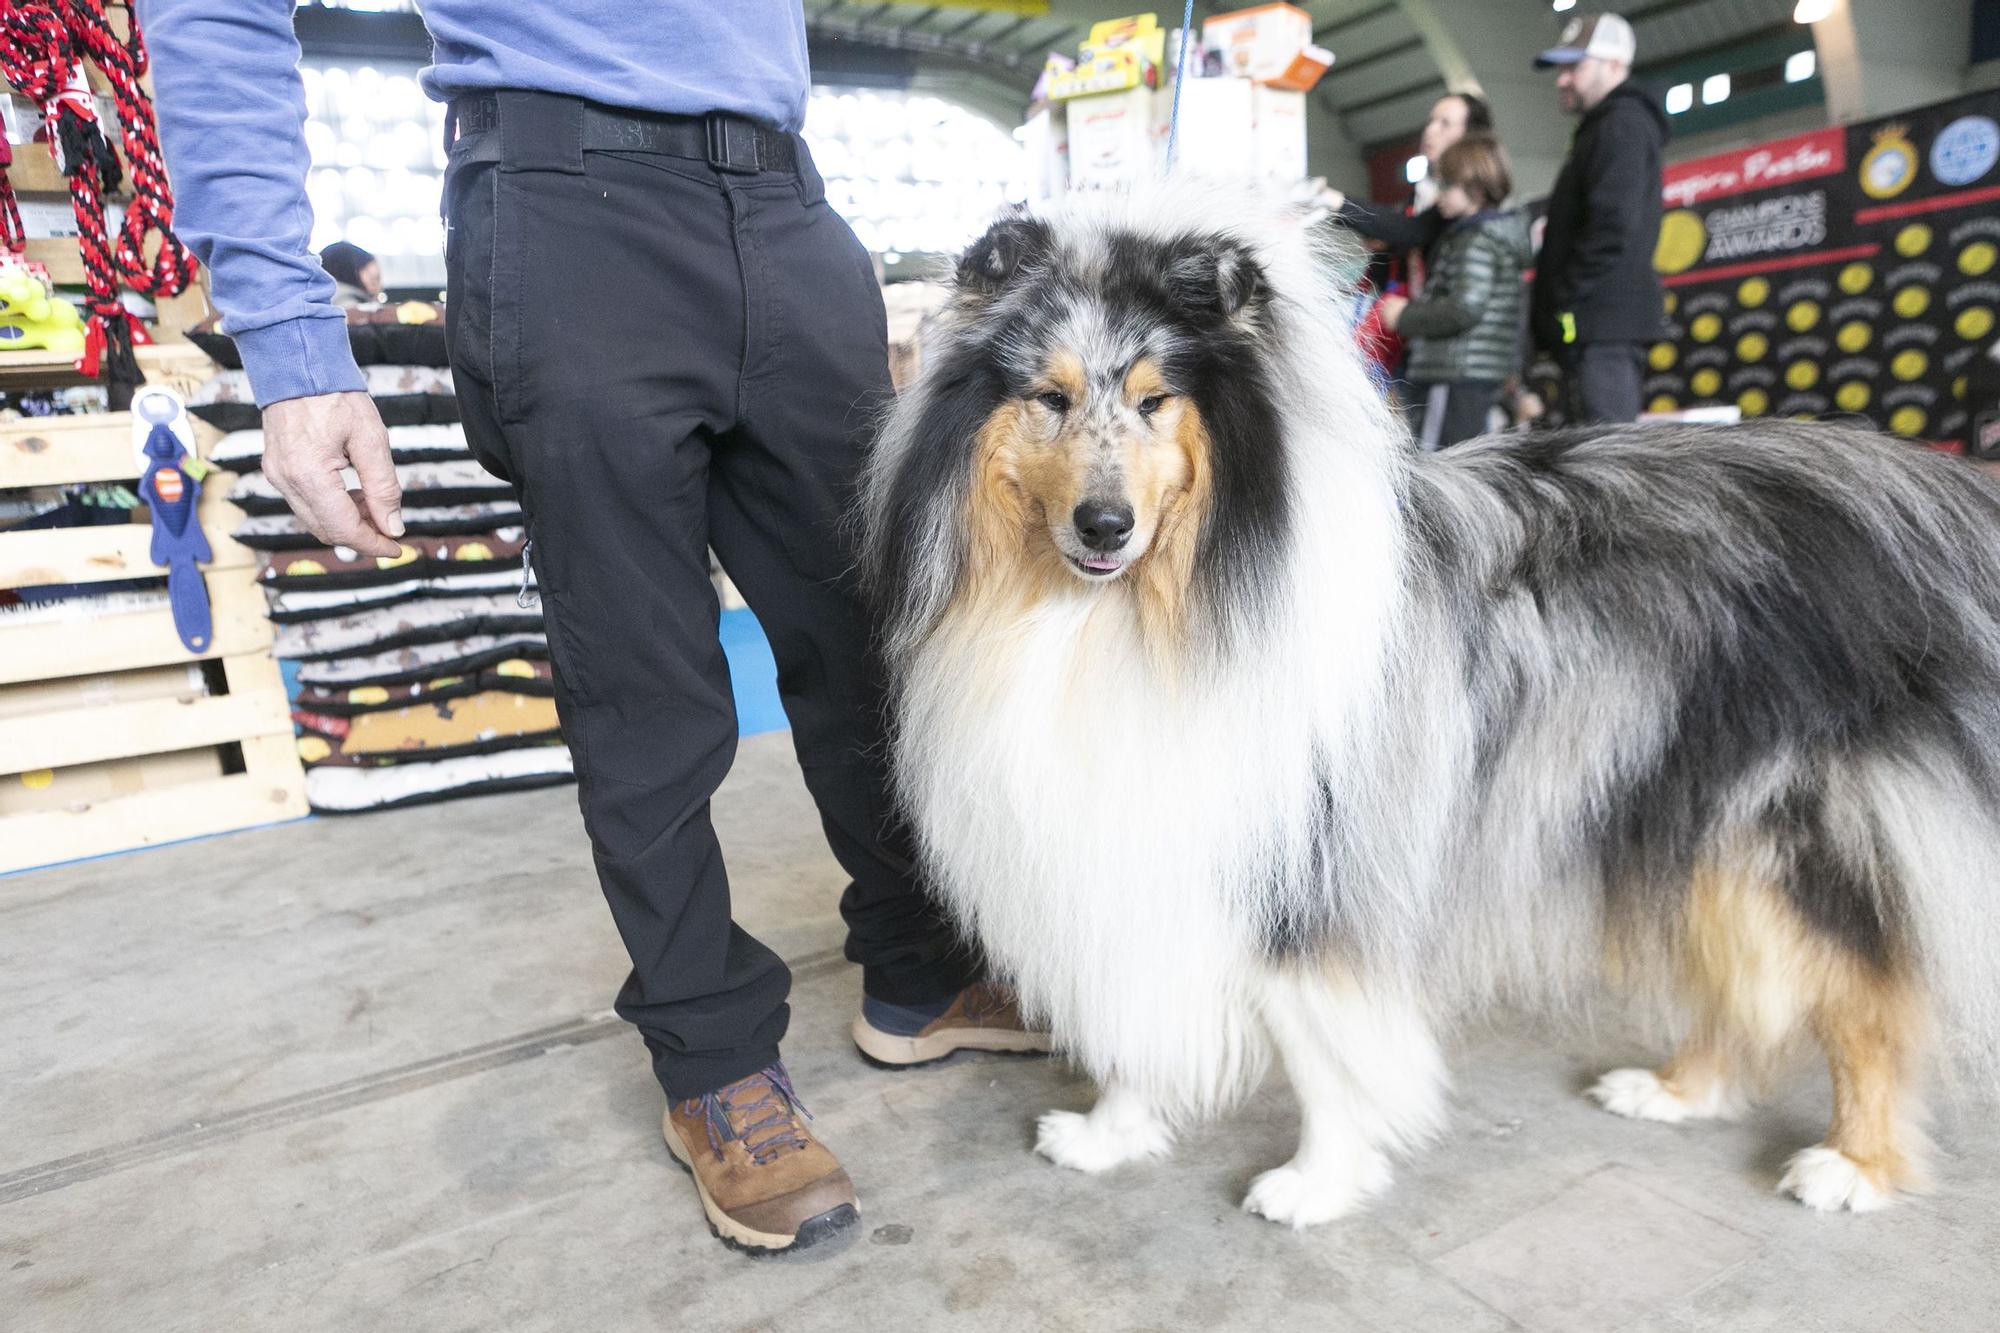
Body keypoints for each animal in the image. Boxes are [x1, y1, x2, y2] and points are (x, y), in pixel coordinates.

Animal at [860, 182, 2000, 1216]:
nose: (1104, 525)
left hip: (1793, 833)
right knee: (1741, 977)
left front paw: (1318, 1181)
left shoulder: (1308, 855)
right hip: (1675, 805)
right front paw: (1111, 1132)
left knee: (1864, 997)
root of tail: (1927, 486)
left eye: (1154, 399)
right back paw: (1678, 1089)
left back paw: (1852, 1163)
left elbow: (1318, 1038)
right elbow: (1136, 1006)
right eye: (1047, 397)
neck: (1145, 609)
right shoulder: (1139, 844)